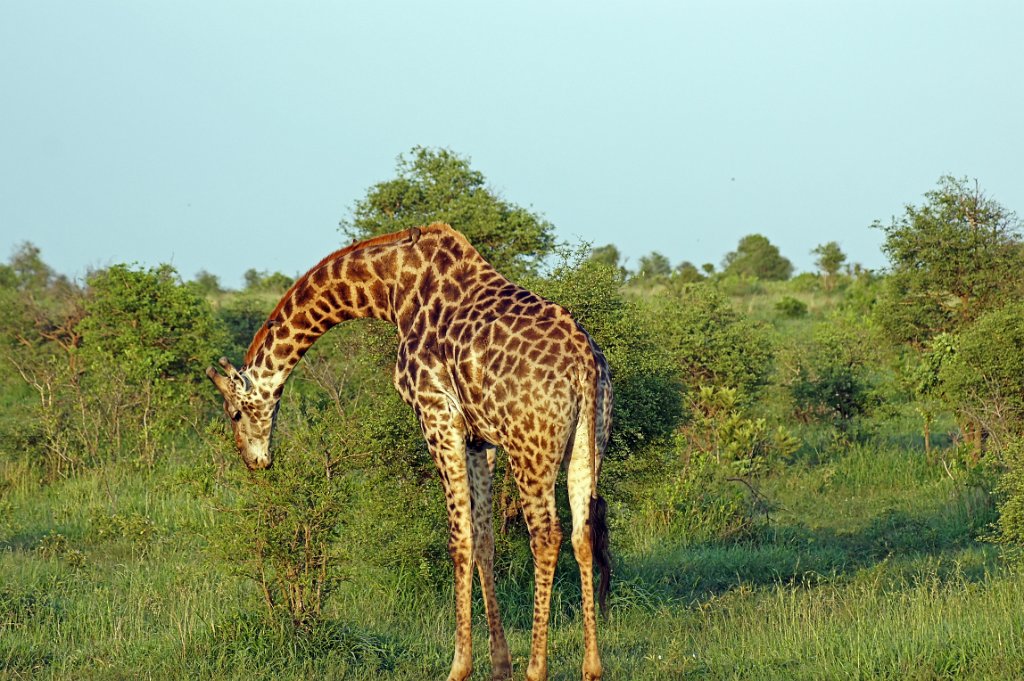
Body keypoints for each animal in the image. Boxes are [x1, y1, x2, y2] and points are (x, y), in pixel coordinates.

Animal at [206, 223, 612, 681]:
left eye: (235, 413)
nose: (255, 460)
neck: (392, 287)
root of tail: (584, 363)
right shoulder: (480, 437)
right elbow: (485, 538)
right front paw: (498, 665)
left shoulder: (436, 413)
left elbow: (459, 538)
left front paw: (459, 667)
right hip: (587, 442)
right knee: (582, 534)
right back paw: (591, 667)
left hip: (531, 447)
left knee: (546, 536)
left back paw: (536, 669)